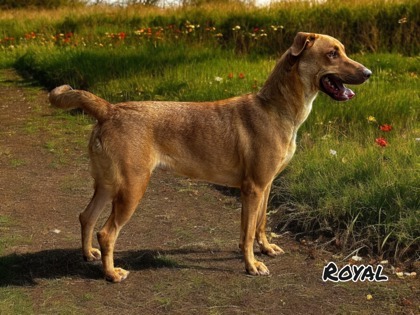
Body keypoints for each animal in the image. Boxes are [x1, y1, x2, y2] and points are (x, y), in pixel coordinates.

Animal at [48, 32, 370, 284]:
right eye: (332, 53)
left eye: (343, 50)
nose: (368, 73)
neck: (276, 108)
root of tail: (109, 109)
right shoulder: (252, 188)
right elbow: (246, 232)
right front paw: (252, 265)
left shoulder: (266, 185)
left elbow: (260, 224)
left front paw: (266, 249)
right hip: (131, 188)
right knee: (106, 232)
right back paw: (111, 273)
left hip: (106, 184)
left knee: (87, 216)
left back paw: (89, 255)